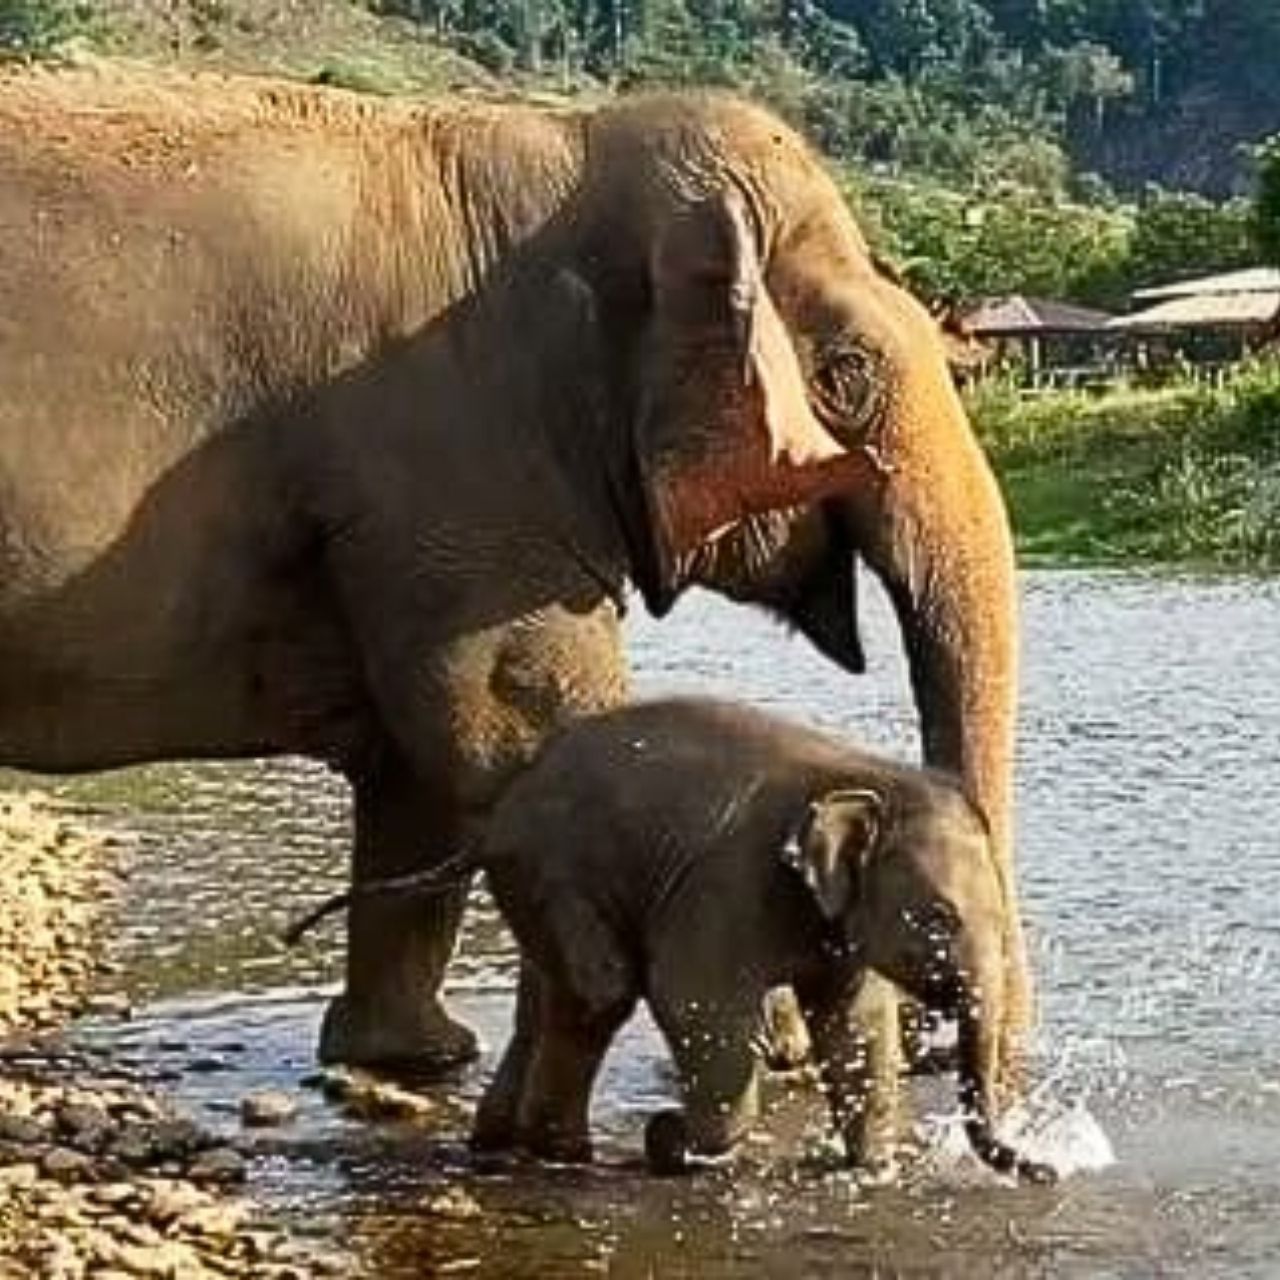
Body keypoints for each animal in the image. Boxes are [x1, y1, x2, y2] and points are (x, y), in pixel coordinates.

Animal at [0, 68, 1025, 1085]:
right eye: (848, 372)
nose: (933, 1047)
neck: (567, 147)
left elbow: (420, 766)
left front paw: (414, 1056)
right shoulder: (462, 471)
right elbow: (517, 721)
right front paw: (778, 1042)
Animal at [461, 698, 1053, 1182]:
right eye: (939, 919)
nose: (1046, 1171)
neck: (862, 777)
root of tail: (508, 800)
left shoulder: (835, 924)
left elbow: (857, 1021)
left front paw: (871, 1168)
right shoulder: (726, 882)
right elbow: (696, 1002)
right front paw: (676, 1140)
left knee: (559, 996)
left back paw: (522, 1143)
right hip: (550, 871)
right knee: (604, 992)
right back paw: (568, 1153)